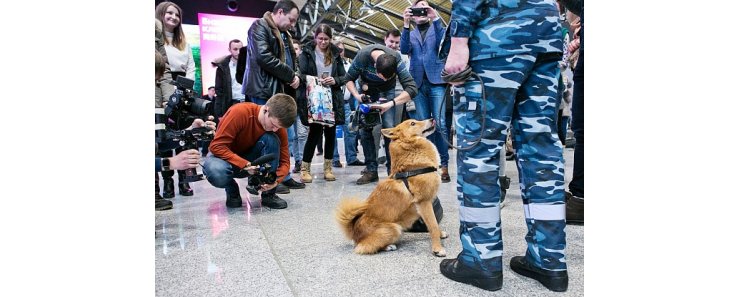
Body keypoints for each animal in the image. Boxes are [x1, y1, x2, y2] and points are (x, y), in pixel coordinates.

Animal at [334, 119, 446, 256]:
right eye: (413, 123)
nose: (432, 119)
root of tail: (355, 233)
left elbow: (434, 222)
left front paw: (440, 235)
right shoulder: (424, 202)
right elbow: (433, 225)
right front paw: (437, 249)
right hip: (395, 228)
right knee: (364, 247)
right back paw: (388, 247)